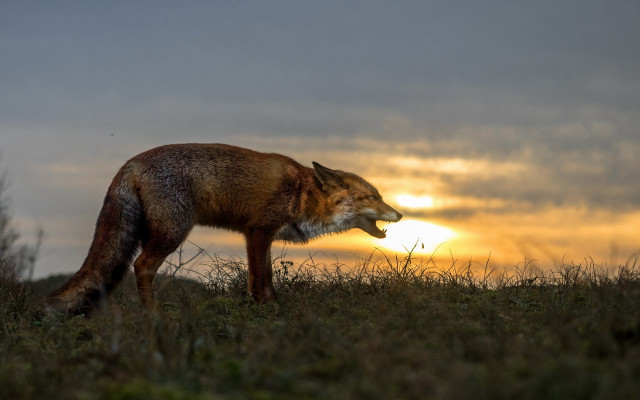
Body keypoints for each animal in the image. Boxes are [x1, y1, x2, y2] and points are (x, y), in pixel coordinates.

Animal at [47, 143, 402, 314]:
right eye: (372, 197)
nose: (399, 213)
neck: (301, 193)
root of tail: (129, 164)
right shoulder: (259, 230)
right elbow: (259, 278)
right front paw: (264, 310)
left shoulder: (257, 233)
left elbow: (266, 276)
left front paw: (271, 306)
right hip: (173, 231)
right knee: (141, 265)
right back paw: (153, 314)